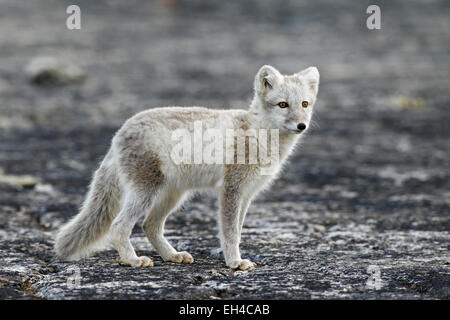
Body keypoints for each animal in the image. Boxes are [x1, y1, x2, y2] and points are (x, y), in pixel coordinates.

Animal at [54, 65, 318, 270]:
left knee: (149, 225)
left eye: (305, 104)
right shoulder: (231, 190)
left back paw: (172, 256)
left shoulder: (247, 194)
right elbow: (230, 233)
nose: (302, 125)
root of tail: (118, 133)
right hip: (146, 192)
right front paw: (234, 263)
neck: (257, 132)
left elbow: (238, 231)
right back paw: (133, 260)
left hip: (173, 195)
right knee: (119, 226)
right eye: (282, 105)